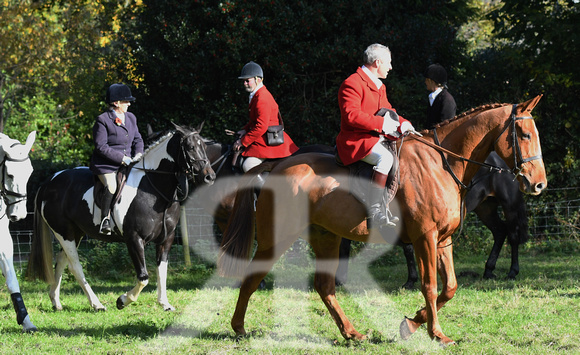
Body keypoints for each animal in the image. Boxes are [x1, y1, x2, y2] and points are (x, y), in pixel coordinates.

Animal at [27, 124, 215, 312]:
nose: (209, 177)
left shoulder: (166, 239)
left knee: (61, 261)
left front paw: (164, 303)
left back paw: (56, 301)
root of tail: (49, 182)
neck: (153, 190)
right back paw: (97, 304)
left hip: (75, 233)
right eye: (190, 147)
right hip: (64, 233)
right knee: (75, 266)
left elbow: (162, 271)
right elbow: (143, 277)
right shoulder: (134, 239)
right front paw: (122, 300)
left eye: (205, 147)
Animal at [220, 96, 548, 346]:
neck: (441, 164)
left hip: (326, 235)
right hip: (278, 238)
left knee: (324, 285)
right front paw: (436, 334)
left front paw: (413, 324)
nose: (539, 184)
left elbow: (450, 287)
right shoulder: (425, 238)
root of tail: (275, 166)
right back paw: (238, 327)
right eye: (524, 135)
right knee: (254, 277)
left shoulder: (442, 240)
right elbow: (430, 285)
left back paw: (351, 333)